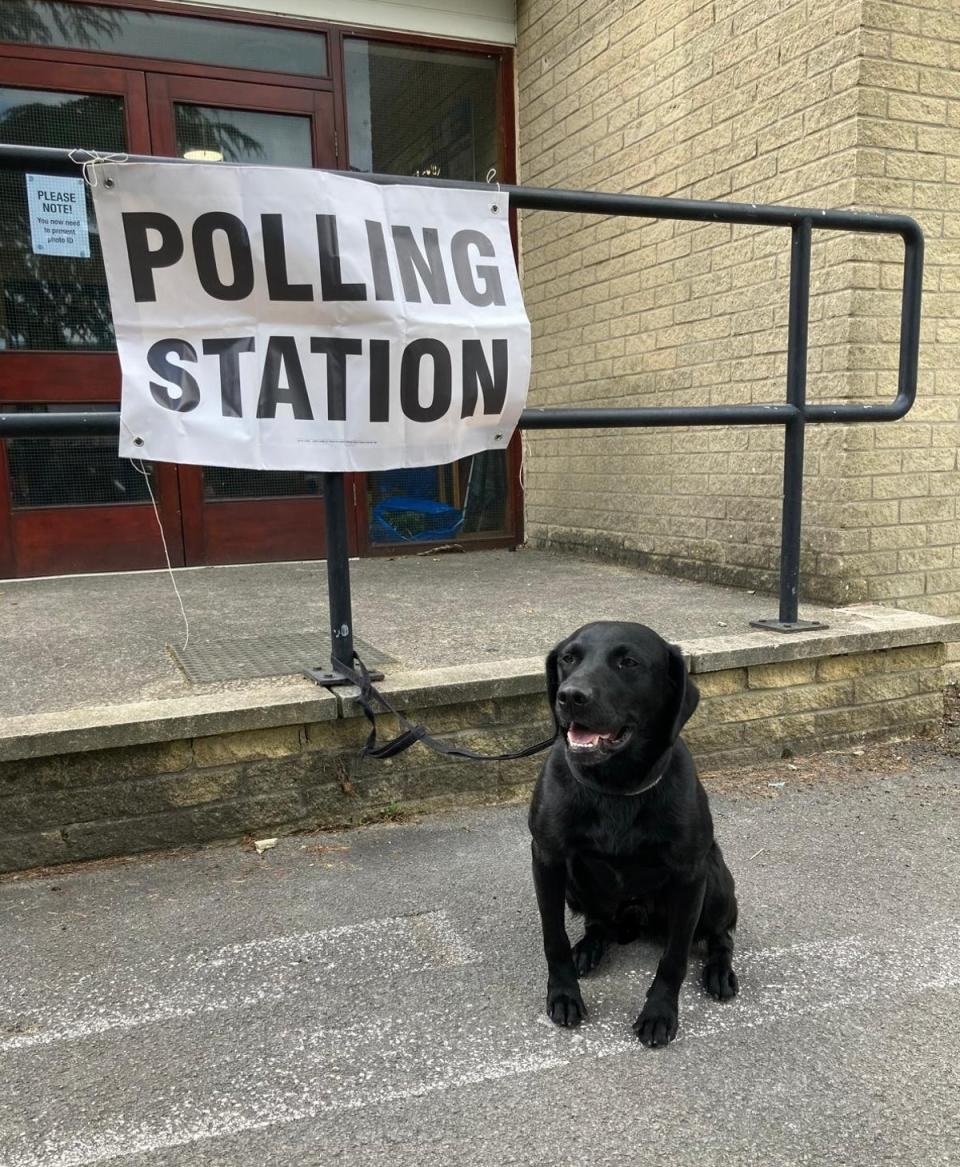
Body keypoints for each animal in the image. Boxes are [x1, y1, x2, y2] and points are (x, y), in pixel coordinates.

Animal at [529, 625, 741, 1045]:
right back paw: (588, 949)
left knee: (721, 935)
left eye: (629, 662)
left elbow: (674, 957)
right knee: (598, 924)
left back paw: (719, 971)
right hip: (575, 883)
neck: (615, 787)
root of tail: (636, 920)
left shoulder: (690, 874)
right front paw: (564, 994)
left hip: (715, 880)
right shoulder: (546, 858)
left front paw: (659, 1012)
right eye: (568, 658)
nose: (570, 696)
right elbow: (554, 938)